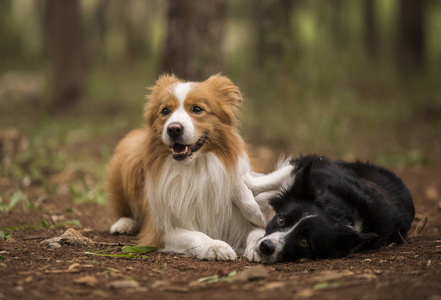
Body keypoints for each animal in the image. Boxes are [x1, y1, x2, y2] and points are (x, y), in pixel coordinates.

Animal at [107, 74, 266, 260]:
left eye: (197, 109)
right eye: (165, 111)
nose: (173, 129)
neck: (194, 169)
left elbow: (259, 229)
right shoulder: (160, 230)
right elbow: (194, 235)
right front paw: (215, 246)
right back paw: (124, 223)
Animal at [246, 156, 414, 264]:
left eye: (304, 242)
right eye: (281, 220)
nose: (266, 247)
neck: (336, 209)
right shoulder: (316, 168)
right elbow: (261, 183)